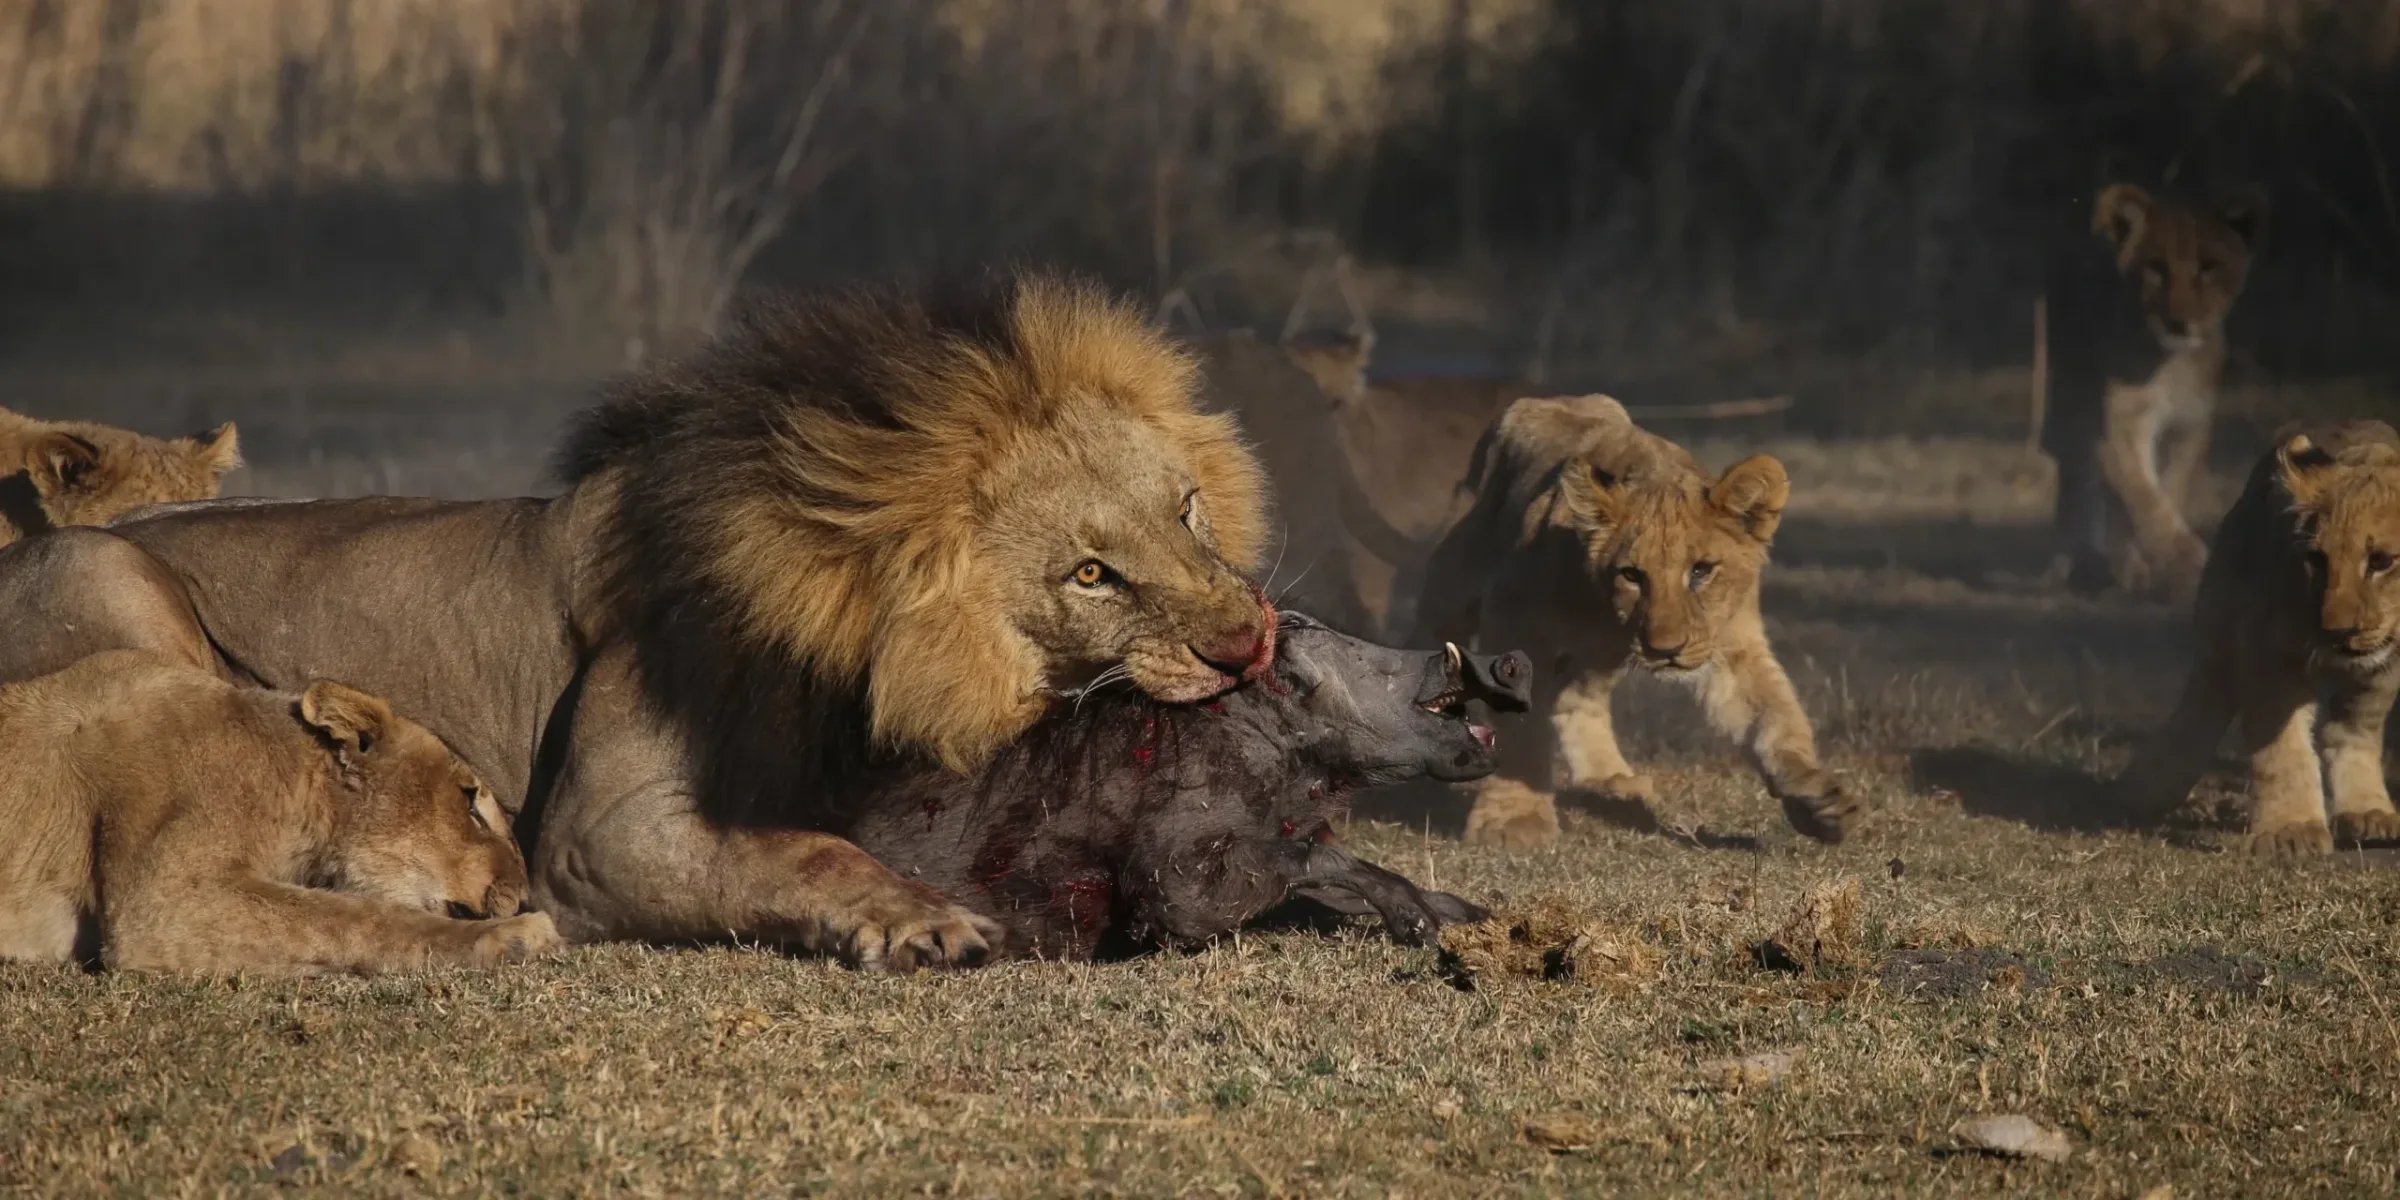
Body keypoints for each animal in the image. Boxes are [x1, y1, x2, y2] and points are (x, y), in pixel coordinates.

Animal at [1407, 393, 1852, 847]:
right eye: (1633, 575)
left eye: (1701, 571)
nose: (1666, 649)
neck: (1606, 609)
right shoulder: (1513, 616)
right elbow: (1521, 729)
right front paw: (1514, 818)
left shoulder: (1730, 643)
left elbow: (1774, 716)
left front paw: (1818, 800)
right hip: (1454, 581)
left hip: (1599, 657)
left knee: (1579, 698)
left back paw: (1609, 780)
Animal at [2042, 182, 2266, 602]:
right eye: (2156, 268)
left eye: (2208, 267)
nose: (2179, 322)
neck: (2170, 363)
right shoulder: (2119, 428)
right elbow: (2146, 501)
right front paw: (2185, 564)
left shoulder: (2190, 426)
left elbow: (2167, 491)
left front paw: (2155, 568)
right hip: (2070, 399)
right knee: (2079, 481)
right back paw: (2079, 566)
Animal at [2115, 420, 2400, 855]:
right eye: (2317, 560)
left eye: (2381, 561)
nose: (2336, 631)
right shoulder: (2265, 649)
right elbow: (2282, 748)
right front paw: (2291, 830)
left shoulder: (2382, 669)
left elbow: (2353, 732)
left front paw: (2362, 811)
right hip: (2218, 623)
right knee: (2202, 703)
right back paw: (2149, 787)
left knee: (2351, 729)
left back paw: (2368, 812)